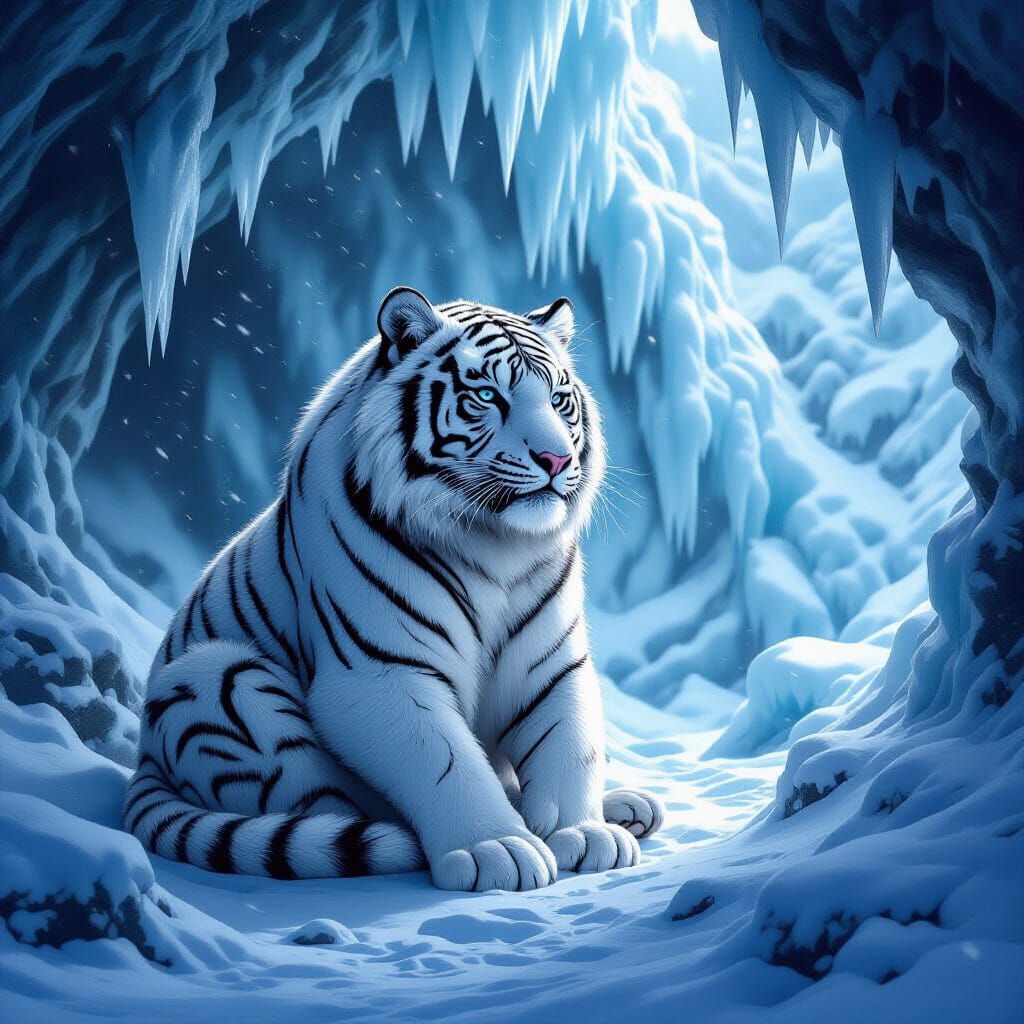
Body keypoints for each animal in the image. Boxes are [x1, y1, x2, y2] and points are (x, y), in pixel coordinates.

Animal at [123, 287, 664, 892]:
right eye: (486, 395)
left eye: (558, 400)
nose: (557, 459)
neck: (493, 542)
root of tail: (143, 759)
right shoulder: (382, 673)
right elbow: (445, 762)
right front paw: (497, 849)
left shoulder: (552, 665)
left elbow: (570, 744)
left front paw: (583, 835)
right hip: (216, 674)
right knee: (327, 806)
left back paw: (625, 807)